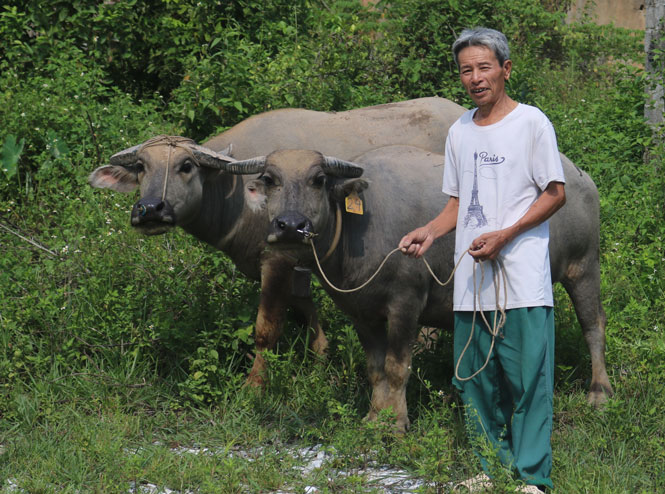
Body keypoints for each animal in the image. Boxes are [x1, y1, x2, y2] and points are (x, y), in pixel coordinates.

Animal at [88, 96, 462, 386]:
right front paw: (319, 366)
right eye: (141, 166)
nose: (151, 209)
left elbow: (266, 329)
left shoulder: (277, 259)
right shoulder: (293, 264)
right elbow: (307, 316)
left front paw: (254, 386)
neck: (237, 193)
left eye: (186, 165)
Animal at [233, 145, 612, 430]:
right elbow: (375, 367)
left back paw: (599, 392)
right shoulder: (362, 313)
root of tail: (580, 177)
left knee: (593, 325)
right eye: (270, 179)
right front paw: (375, 416)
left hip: (584, 267)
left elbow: (397, 365)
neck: (360, 225)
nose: (290, 226)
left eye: (318, 179)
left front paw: (397, 422)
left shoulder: (406, 302)